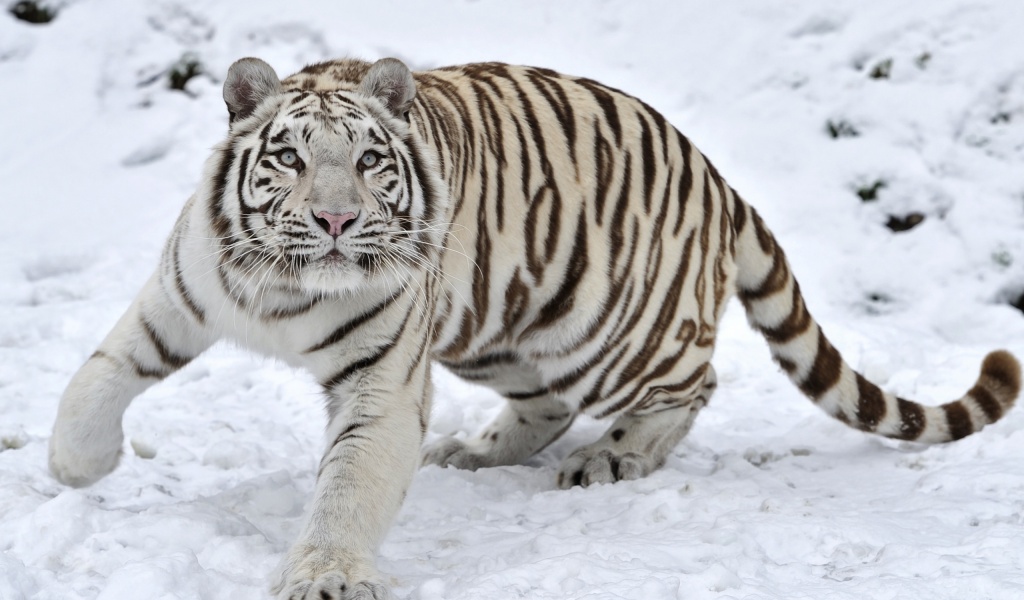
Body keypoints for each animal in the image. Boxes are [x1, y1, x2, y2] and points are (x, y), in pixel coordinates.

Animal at [46, 57, 1015, 597]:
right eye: (287, 157)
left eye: (367, 161)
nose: (333, 220)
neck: (286, 290)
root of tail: (718, 178)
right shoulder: (179, 297)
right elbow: (97, 374)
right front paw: (75, 467)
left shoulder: (383, 380)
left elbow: (348, 485)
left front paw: (326, 576)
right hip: (502, 329)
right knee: (545, 404)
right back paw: (477, 453)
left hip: (613, 334)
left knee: (695, 381)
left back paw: (611, 460)